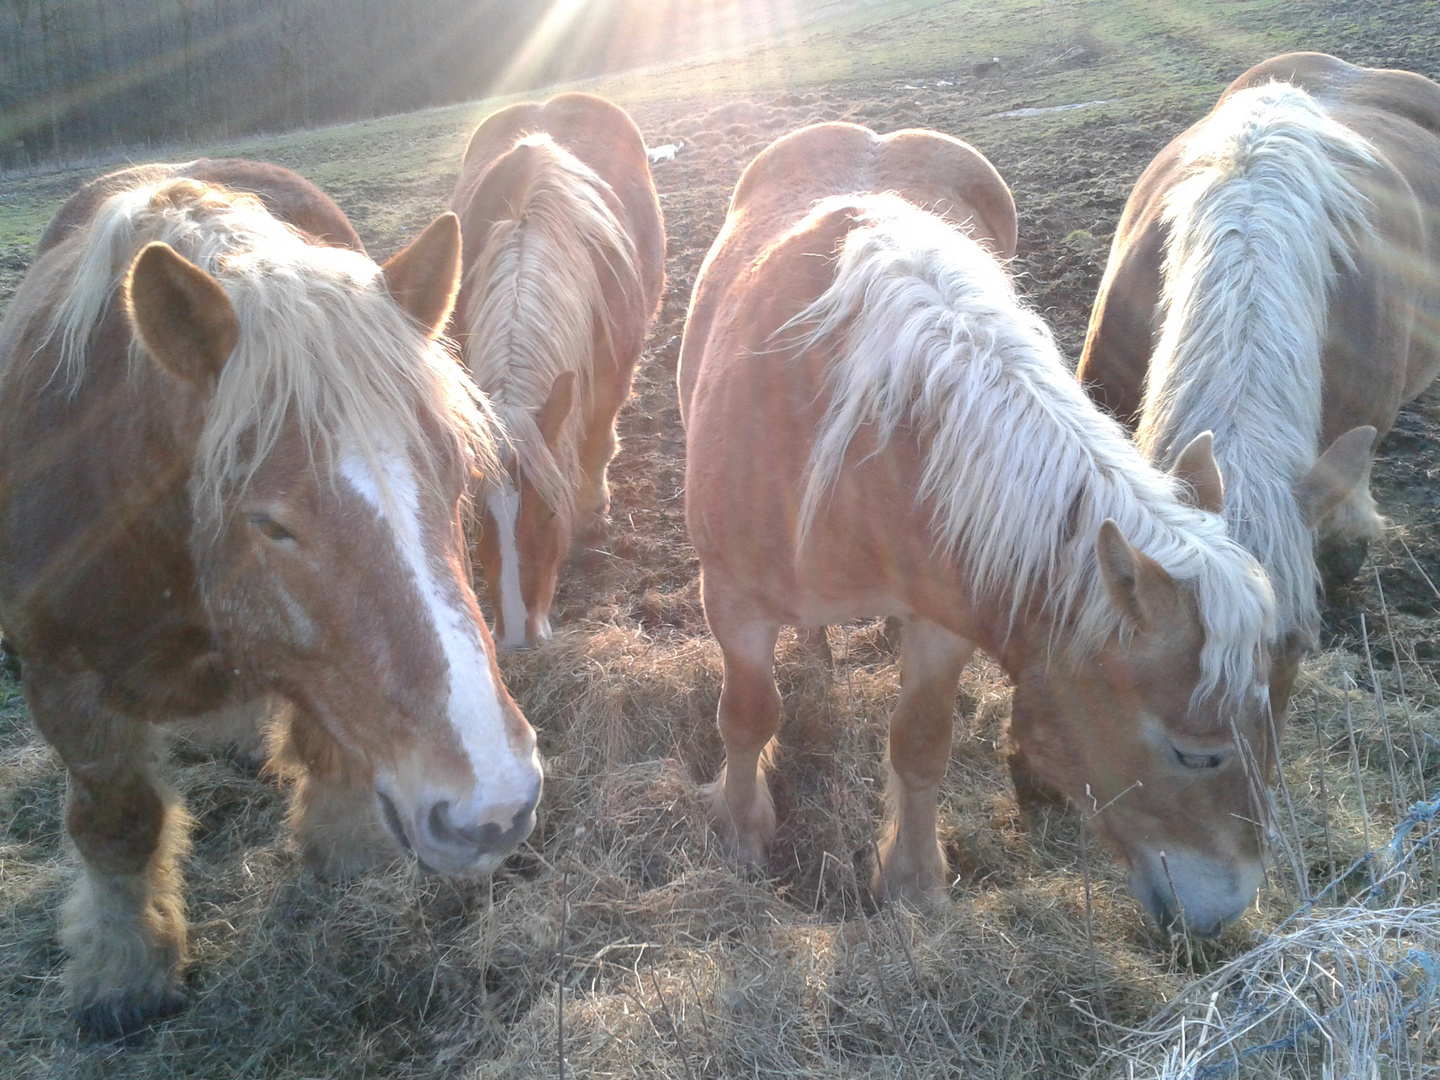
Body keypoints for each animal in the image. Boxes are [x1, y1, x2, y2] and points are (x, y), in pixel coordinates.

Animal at [0, 162, 544, 1042]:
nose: (492, 807)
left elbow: (328, 748)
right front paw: (124, 972)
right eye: (270, 523)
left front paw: (345, 856)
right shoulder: (60, 681)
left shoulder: (323, 673)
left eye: (456, 474)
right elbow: (118, 823)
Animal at [449, 92, 662, 648]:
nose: (518, 637)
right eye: (475, 520)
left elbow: (595, 446)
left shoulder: (609, 386)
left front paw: (594, 513)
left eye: (549, 509)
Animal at [679, 122, 1278, 938]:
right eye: (1194, 753)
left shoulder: (943, 616)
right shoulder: (732, 601)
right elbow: (746, 715)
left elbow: (921, 742)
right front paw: (740, 836)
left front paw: (912, 880)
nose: (1224, 909)